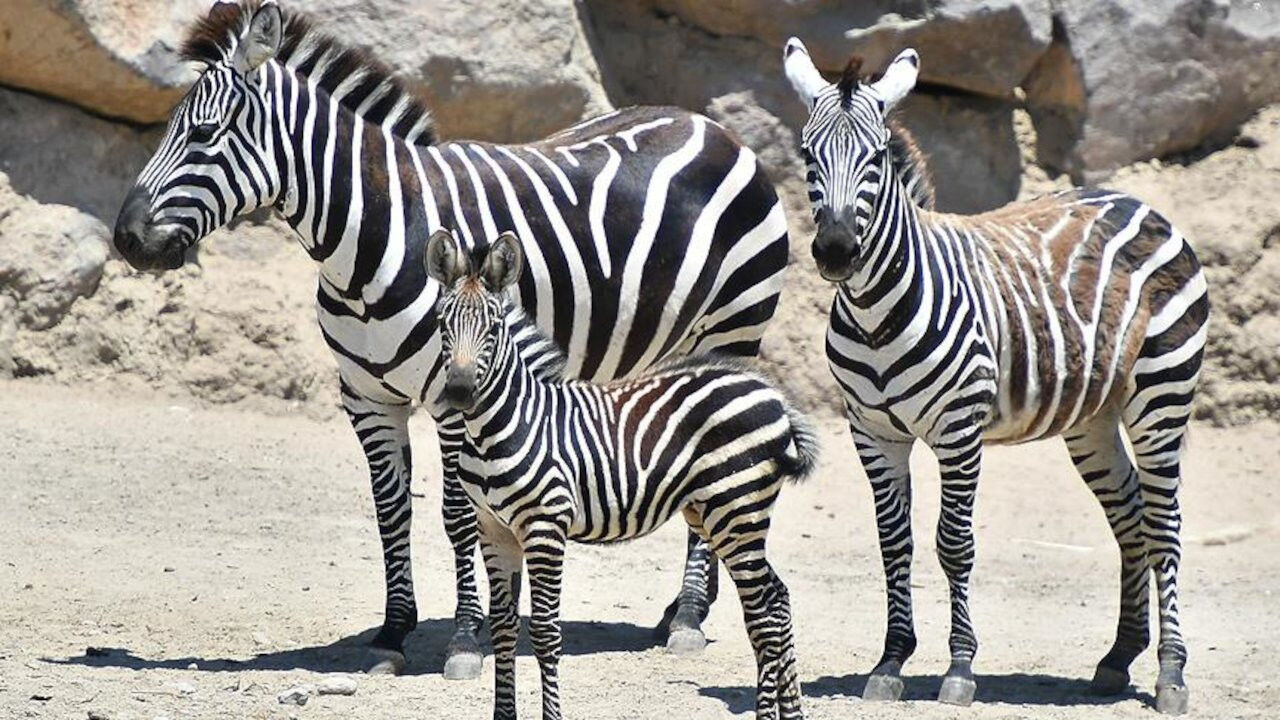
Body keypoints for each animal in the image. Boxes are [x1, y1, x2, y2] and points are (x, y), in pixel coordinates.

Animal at [111, 0, 793, 676]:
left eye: (204, 134)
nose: (125, 240)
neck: (367, 245)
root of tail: (710, 126)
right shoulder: (367, 398)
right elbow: (392, 509)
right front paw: (393, 633)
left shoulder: (452, 396)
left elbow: (458, 513)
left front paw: (467, 640)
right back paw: (684, 608)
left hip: (735, 327)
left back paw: (687, 619)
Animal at [423, 227, 818, 720]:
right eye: (442, 325)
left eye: (493, 329)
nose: (459, 393)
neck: (505, 425)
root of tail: (773, 396)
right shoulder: (494, 530)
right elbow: (503, 630)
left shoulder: (545, 526)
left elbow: (545, 634)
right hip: (718, 514)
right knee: (777, 601)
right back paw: (791, 710)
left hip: (737, 509)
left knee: (764, 612)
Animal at [782, 39, 1208, 714]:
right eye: (807, 154)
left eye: (875, 156)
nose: (836, 251)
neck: (876, 315)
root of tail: (1137, 202)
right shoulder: (873, 433)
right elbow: (893, 542)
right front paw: (891, 661)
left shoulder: (959, 430)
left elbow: (953, 543)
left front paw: (959, 669)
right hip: (1094, 418)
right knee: (1132, 519)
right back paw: (1118, 657)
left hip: (1161, 396)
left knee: (1165, 525)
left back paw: (1171, 674)